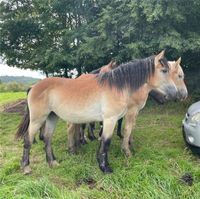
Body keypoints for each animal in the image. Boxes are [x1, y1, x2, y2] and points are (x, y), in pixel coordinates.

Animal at [16, 50, 177, 173]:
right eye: (164, 71)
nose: (175, 94)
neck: (117, 87)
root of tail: (34, 87)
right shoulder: (110, 120)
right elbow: (106, 141)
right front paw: (105, 168)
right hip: (37, 119)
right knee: (28, 139)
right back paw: (26, 167)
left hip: (52, 117)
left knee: (47, 139)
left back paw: (52, 162)